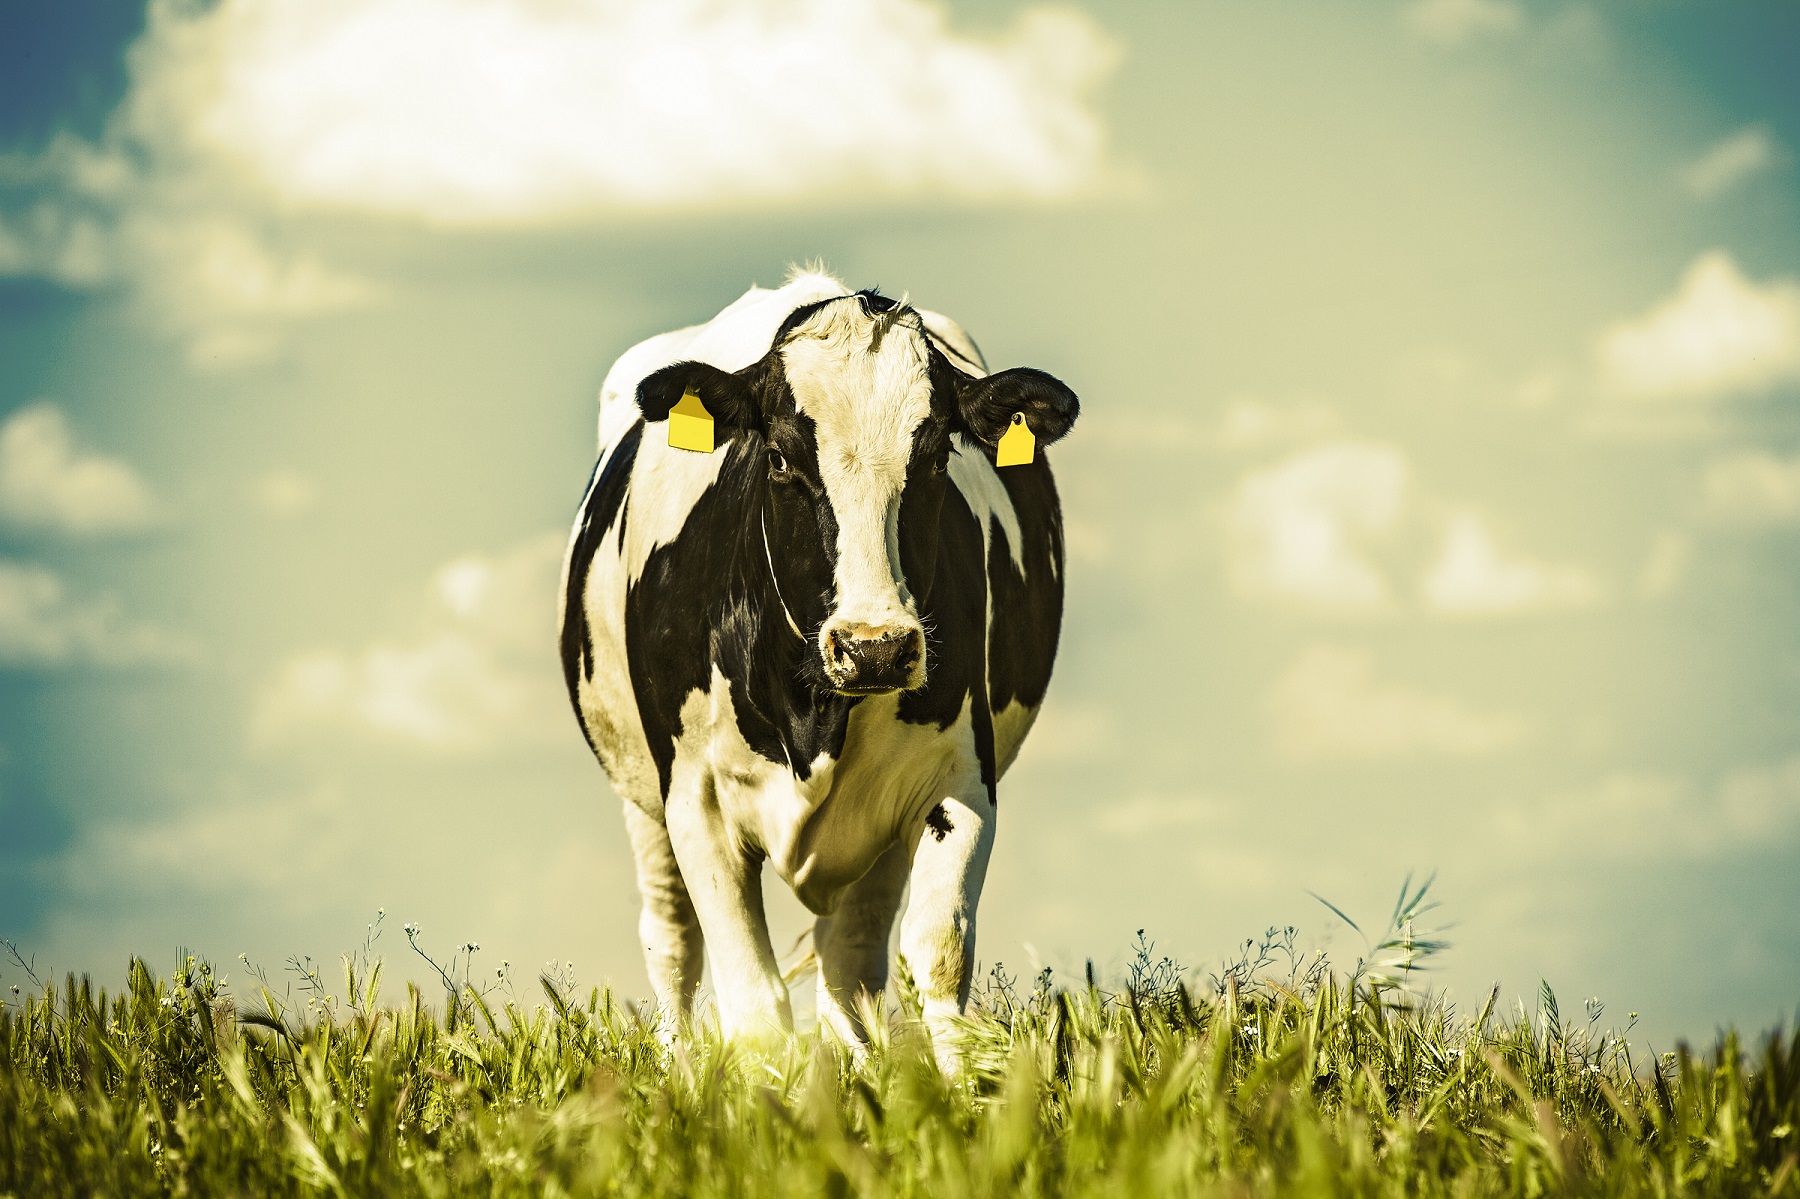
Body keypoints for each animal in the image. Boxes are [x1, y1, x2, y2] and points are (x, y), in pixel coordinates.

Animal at [558, 269, 1078, 1059]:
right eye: (779, 459)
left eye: (936, 458)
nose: (876, 645)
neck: (813, 713)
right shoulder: (696, 797)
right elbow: (751, 999)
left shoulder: (959, 777)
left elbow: (937, 949)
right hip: (642, 798)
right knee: (672, 941)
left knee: (850, 956)